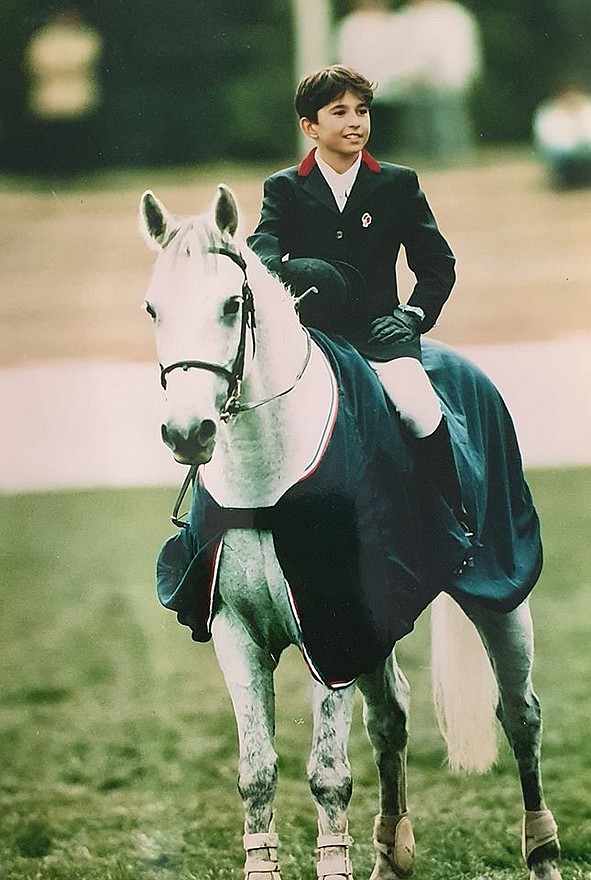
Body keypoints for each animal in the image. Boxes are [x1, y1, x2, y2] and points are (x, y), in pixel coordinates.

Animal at [140, 186, 564, 880]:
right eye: (153, 308)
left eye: (232, 304)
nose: (186, 432)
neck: (267, 478)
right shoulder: (239, 631)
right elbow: (257, 772)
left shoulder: (332, 624)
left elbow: (329, 774)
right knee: (390, 718)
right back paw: (390, 855)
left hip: (500, 593)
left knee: (520, 715)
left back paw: (543, 853)